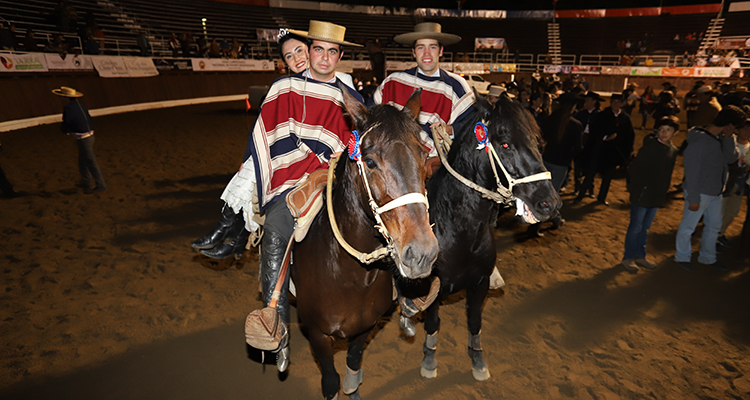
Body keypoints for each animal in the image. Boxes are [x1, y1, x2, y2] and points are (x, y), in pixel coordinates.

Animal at [290, 88, 438, 400]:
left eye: (423, 154)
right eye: (369, 162)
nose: (422, 253)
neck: (350, 274)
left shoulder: (364, 328)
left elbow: (352, 369)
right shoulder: (318, 335)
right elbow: (331, 381)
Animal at [406, 94, 560, 382]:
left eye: (538, 142)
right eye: (506, 143)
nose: (550, 202)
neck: (460, 232)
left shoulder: (480, 284)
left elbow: (475, 322)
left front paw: (477, 360)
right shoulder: (435, 289)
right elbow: (433, 323)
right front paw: (429, 359)